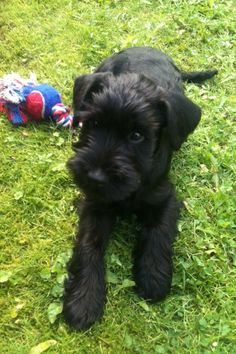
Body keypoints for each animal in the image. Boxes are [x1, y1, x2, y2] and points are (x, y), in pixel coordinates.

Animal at [63, 46, 218, 330]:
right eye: (94, 124)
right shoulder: (95, 204)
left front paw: (154, 277)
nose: (95, 176)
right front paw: (83, 300)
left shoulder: (165, 198)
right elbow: (89, 244)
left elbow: (158, 232)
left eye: (136, 136)